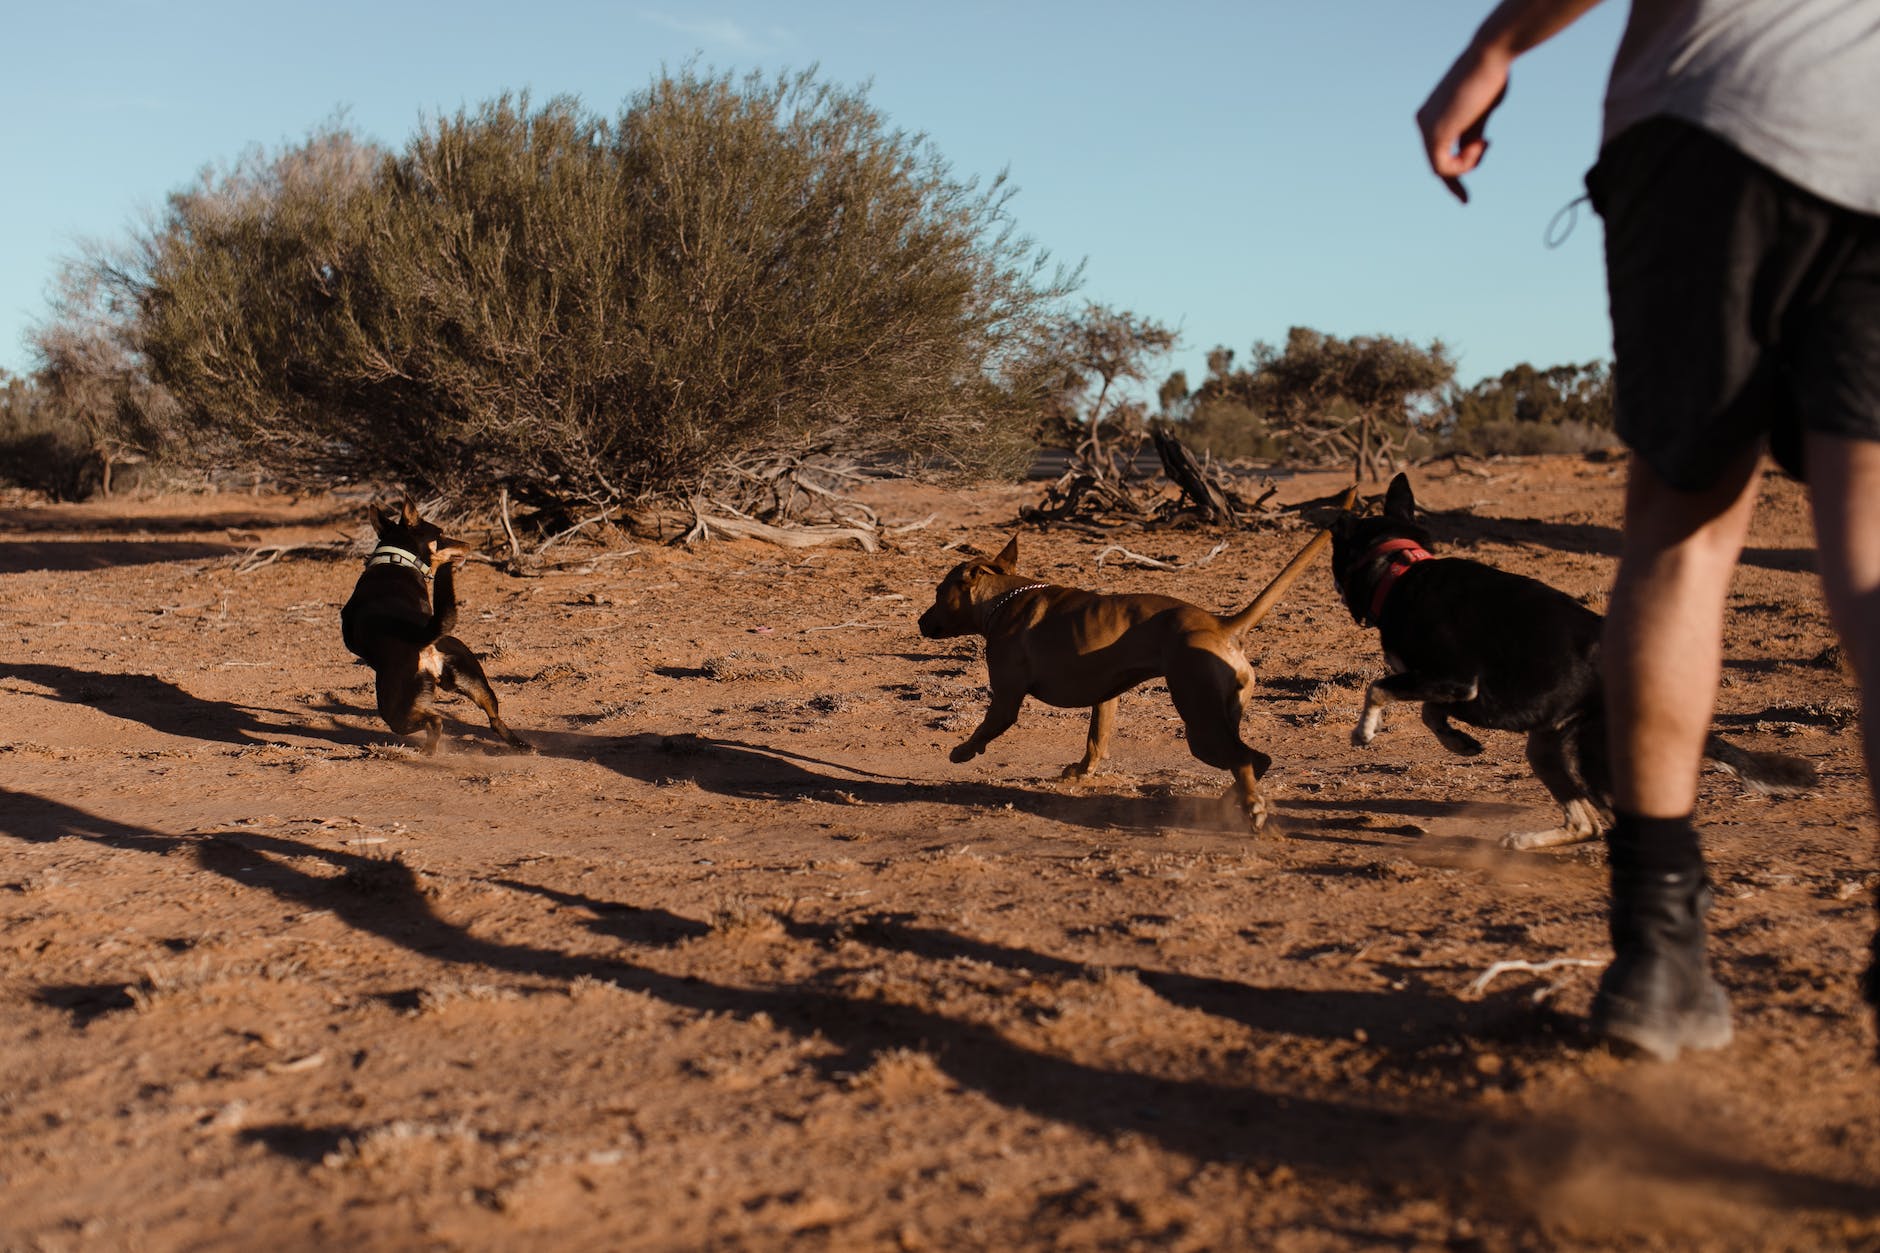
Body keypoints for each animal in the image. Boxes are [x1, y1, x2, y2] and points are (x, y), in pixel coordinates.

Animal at [334, 496, 530, 752]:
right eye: (442, 533)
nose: (467, 544)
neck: (396, 560)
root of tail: (423, 640)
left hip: (394, 707)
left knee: (434, 720)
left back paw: (428, 749)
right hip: (474, 678)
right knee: (494, 719)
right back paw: (521, 745)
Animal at [921, 523, 1346, 824]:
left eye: (939, 592)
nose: (921, 621)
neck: (1003, 598)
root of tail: (1222, 625)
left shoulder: (1007, 699)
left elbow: (986, 728)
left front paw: (963, 751)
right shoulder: (1106, 697)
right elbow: (1096, 741)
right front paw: (1080, 773)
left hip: (1200, 726)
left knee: (1243, 759)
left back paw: (1252, 809)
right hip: (1217, 721)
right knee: (1257, 760)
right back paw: (1242, 801)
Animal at [1331, 470, 1812, 850]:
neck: (1400, 570)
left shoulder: (1453, 676)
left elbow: (1379, 688)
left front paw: (1363, 732)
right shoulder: (1451, 686)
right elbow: (1430, 713)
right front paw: (1462, 743)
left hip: (1586, 756)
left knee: (1612, 823)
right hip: (1549, 747)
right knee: (1586, 824)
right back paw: (1527, 841)